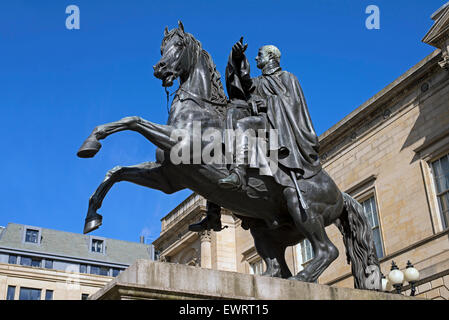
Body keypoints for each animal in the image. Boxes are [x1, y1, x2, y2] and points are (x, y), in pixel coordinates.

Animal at [79, 20, 380, 290]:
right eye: (162, 47)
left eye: (179, 45)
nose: (159, 68)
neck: (199, 109)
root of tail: (341, 195)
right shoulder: (168, 178)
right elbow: (116, 171)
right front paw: (92, 215)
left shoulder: (182, 145)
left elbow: (132, 120)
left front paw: (92, 141)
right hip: (267, 228)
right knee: (276, 266)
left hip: (301, 206)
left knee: (327, 250)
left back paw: (302, 278)